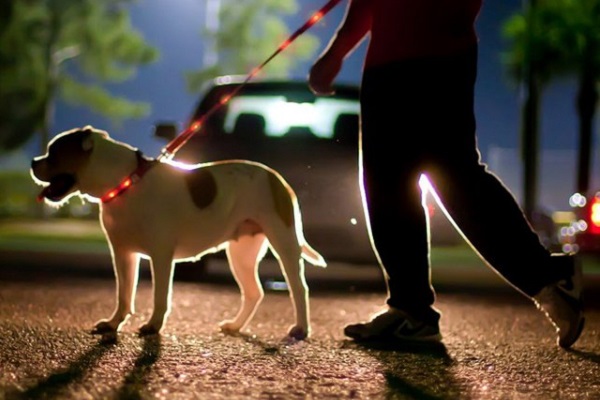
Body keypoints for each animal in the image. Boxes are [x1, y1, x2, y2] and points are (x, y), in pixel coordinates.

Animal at [30, 126, 326, 340]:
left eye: (53, 152)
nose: (33, 161)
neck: (126, 182)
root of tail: (277, 178)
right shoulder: (123, 254)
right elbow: (124, 294)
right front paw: (114, 323)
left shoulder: (161, 256)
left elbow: (160, 295)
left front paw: (153, 326)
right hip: (241, 254)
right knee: (254, 292)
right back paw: (236, 326)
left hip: (284, 242)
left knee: (299, 288)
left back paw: (301, 329)